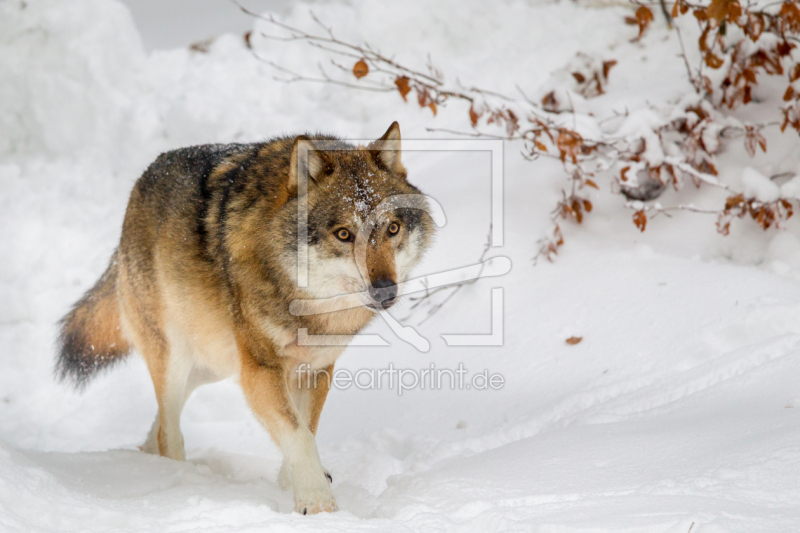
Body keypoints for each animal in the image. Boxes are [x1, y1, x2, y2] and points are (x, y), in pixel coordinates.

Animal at [55, 122, 434, 512]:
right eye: (344, 234)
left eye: (392, 228)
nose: (385, 290)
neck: (307, 304)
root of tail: (138, 186)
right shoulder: (261, 371)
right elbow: (298, 435)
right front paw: (316, 502)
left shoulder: (315, 369)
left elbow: (306, 428)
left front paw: (290, 484)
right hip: (176, 359)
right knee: (168, 428)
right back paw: (176, 477)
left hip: (213, 364)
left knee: (159, 423)